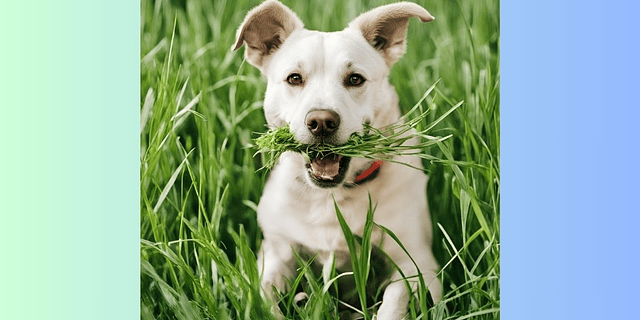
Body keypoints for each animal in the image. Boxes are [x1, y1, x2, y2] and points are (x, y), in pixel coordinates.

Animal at [232, 1, 442, 318]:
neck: (330, 197)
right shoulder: (276, 253)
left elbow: (395, 299)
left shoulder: (418, 264)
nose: (321, 122)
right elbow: (264, 296)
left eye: (355, 79)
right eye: (294, 78)